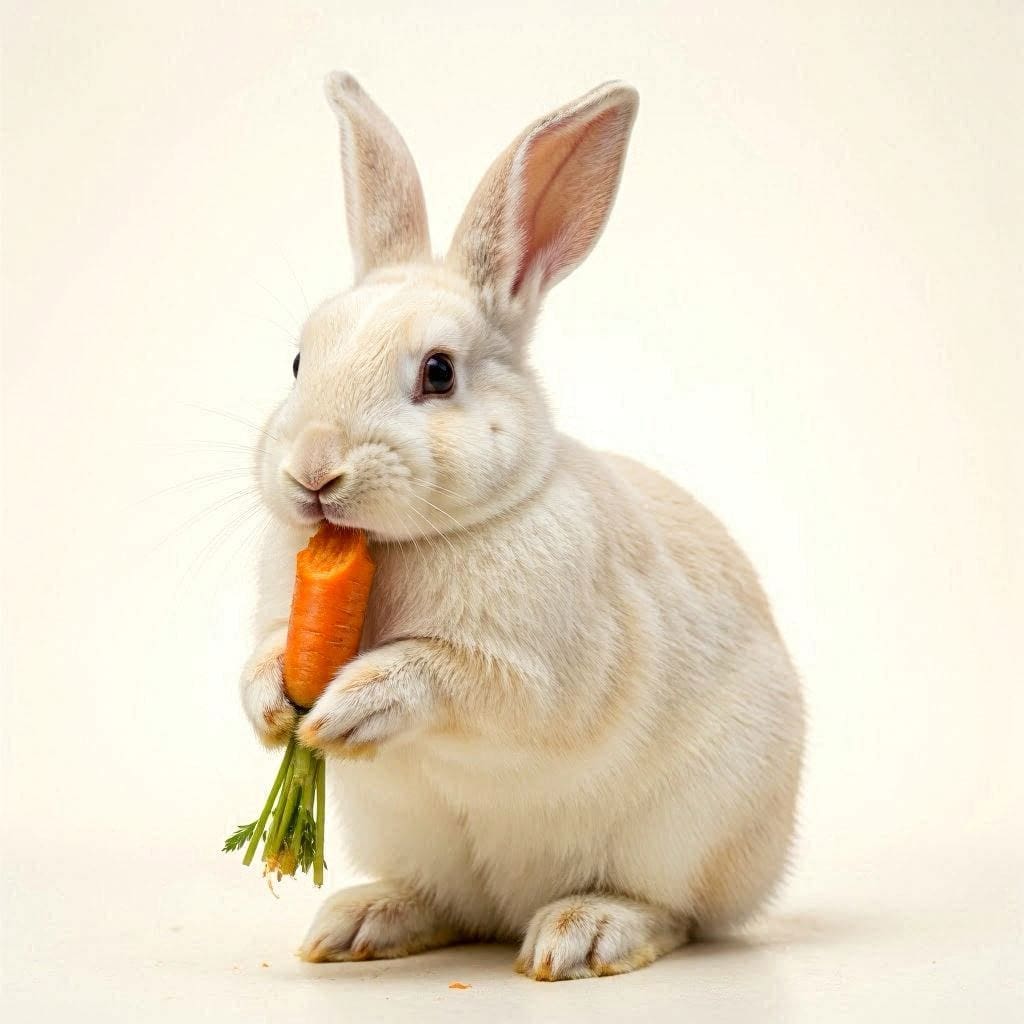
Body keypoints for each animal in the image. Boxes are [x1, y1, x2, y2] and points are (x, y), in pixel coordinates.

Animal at [238, 71, 805, 982]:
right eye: (298, 361)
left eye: (438, 373)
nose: (312, 472)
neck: (400, 547)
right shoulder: (277, 621)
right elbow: (265, 655)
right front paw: (270, 713)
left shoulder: (538, 671)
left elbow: (452, 679)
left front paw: (347, 711)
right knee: (447, 904)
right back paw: (360, 923)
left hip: (685, 835)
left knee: (676, 913)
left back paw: (582, 933)